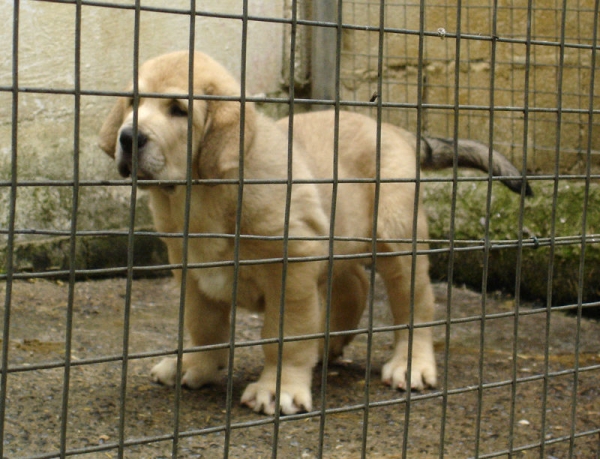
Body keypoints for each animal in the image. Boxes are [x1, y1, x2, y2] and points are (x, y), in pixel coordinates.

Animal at [98, 50, 528, 416]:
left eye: (178, 110)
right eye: (133, 102)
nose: (128, 137)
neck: (202, 197)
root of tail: (398, 131)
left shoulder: (291, 266)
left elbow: (284, 335)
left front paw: (279, 388)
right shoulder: (191, 270)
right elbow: (204, 327)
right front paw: (195, 365)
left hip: (398, 241)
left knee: (415, 307)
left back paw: (411, 364)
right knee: (355, 286)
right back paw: (328, 346)